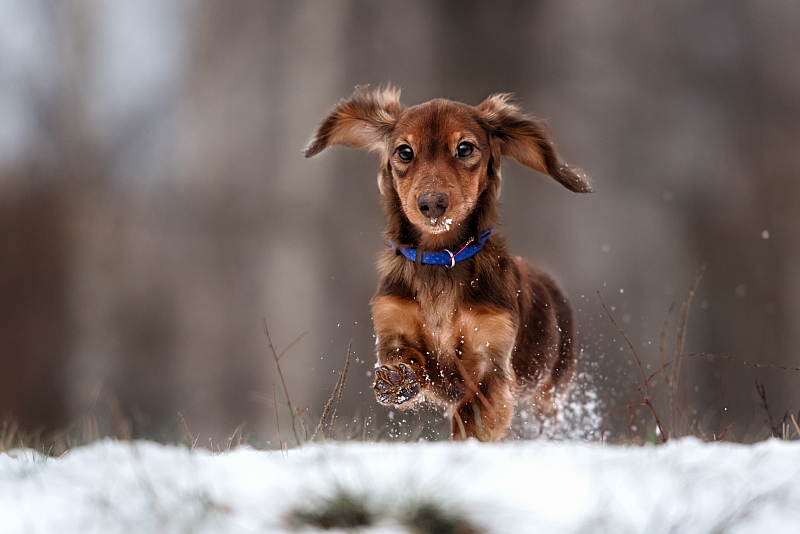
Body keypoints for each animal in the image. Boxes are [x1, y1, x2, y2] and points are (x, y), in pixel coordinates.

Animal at [304, 87, 592, 440]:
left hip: (550, 389)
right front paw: (397, 378)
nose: (432, 204)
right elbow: (404, 357)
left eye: (464, 148)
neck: (440, 261)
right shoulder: (393, 325)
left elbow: (472, 415)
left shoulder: (490, 358)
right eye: (404, 152)